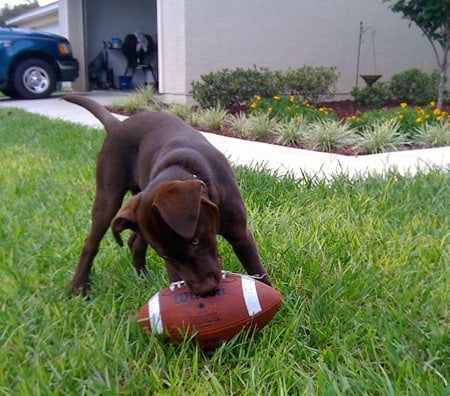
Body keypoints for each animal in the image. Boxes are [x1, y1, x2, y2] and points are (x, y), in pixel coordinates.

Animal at [63, 94, 270, 296]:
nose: (205, 291)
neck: (184, 167)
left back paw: (143, 279)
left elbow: (258, 271)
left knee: (134, 242)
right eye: (166, 255)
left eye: (194, 241)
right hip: (109, 197)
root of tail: (117, 124)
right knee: (91, 242)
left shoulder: (240, 234)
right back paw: (77, 287)